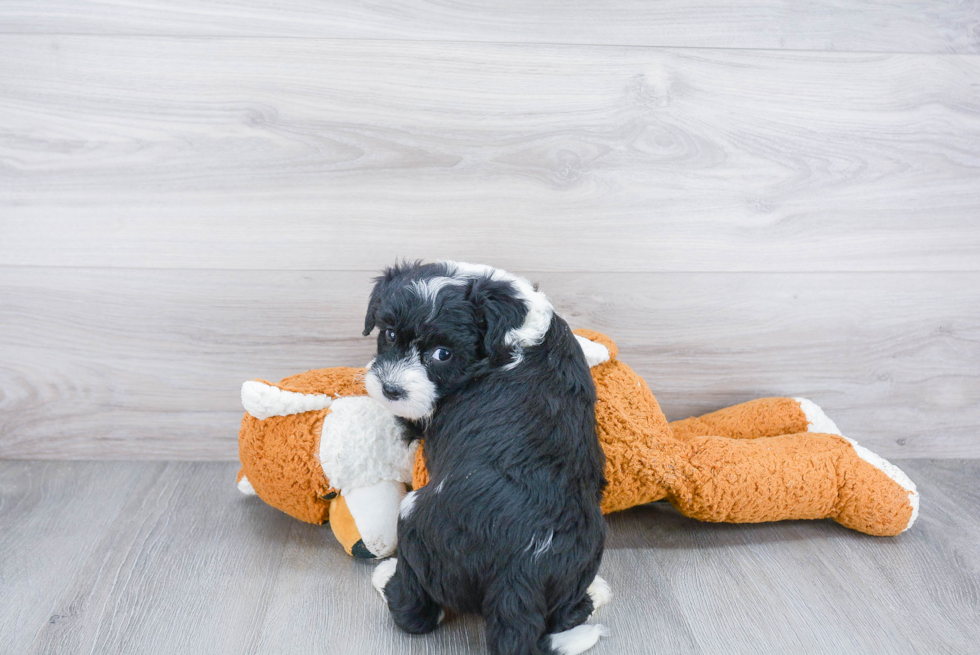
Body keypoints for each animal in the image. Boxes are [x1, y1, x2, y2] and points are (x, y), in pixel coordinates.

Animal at [364, 262, 608, 655]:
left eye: (443, 354)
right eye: (388, 333)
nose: (390, 389)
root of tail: (519, 576)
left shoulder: (423, 414)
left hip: (414, 518)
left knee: (418, 616)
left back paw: (387, 578)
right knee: (564, 615)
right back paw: (594, 595)